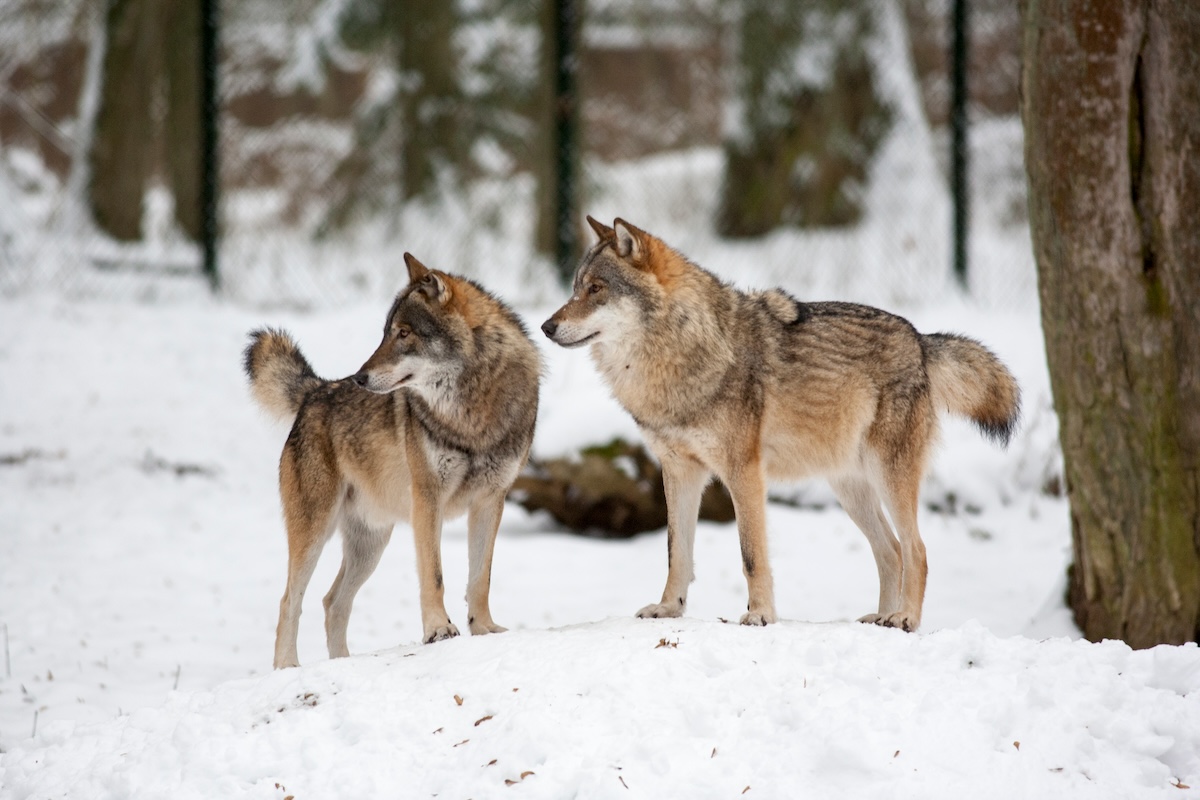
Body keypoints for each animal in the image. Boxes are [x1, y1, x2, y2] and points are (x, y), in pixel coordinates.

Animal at [243, 253, 540, 666]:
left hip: (371, 544)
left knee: (333, 602)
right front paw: (438, 630)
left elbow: (481, 577)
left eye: (403, 333)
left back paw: (343, 663)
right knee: (290, 600)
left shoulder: (491, 500)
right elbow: (434, 574)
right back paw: (288, 666)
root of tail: (316, 390)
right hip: (315, 532)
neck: (472, 410)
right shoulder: (427, 500)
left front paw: (483, 629)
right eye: (386, 332)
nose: (359, 378)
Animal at [544, 219, 1022, 633]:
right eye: (575, 288)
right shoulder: (679, 471)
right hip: (850, 490)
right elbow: (676, 552)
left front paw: (760, 615)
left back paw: (905, 619)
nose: (547, 326)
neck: (678, 356)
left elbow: (751, 554)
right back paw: (880, 618)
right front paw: (668, 609)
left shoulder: (743, 472)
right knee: (891, 551)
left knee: (916, 550)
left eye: (596, 289)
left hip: (888, 478)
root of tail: (921, 341)